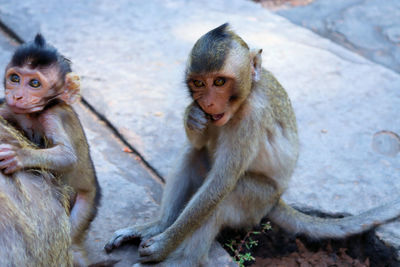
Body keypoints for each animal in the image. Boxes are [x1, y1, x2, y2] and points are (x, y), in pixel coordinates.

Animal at [0, 34, 100, 267]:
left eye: (35, 83)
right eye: (15, 78)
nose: (17, 96)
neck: (34, 114)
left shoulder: (52, 115)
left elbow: (67, 157)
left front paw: (19, 156)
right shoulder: (9, 109)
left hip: (85, 205)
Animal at [105, 24, 400, 266]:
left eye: (220, 81)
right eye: (199, 83)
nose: (208, 103)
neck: (247, 96)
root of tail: (278, 200)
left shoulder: (252, 117)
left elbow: (221, 185)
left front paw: (164, 246)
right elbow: (197, 142)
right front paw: (192, 116)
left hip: (257, 202)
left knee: (227, 194)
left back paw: (183, 260)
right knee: (193, 153)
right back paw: (158, 226)